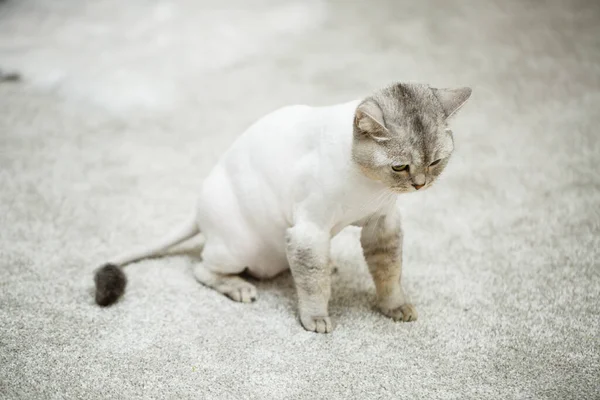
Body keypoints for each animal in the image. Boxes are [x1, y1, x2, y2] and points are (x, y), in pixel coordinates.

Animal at [94, 83, 472, 332]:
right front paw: (316, 318)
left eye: (436, 162)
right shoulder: (308, 232)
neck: (370, 187)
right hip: (238, 248)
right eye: (400, 167)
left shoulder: (383, 226)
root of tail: (198, 208)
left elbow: (389, 274)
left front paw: (394, 308)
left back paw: (330, 265)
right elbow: (314, 287)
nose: (420, 184)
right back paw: (240, 287)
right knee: (202, 269)